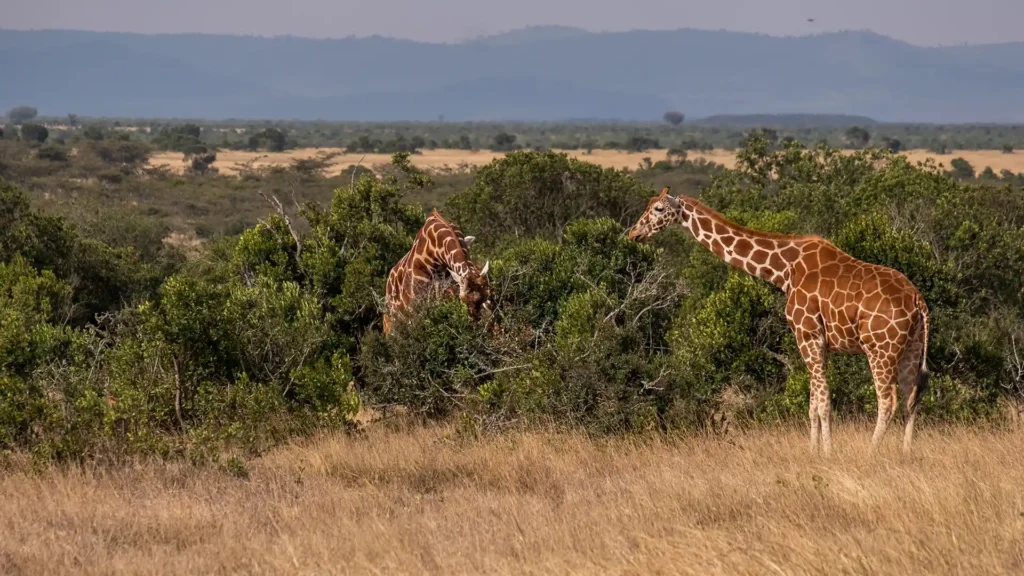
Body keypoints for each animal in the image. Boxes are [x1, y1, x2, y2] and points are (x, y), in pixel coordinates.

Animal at [626, 187, 933, 453]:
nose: (634, 232)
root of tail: (918, 301)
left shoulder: (807, 334)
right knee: (911, 397)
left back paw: (870, 453)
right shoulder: (817, 341)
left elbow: (823, 403)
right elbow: (813, 404)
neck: (785, 270)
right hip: (911, 348)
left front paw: (828, 453)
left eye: (658, 208)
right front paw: (813, 452)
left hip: (880, 349)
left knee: (888, 400)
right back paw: (905, 454)